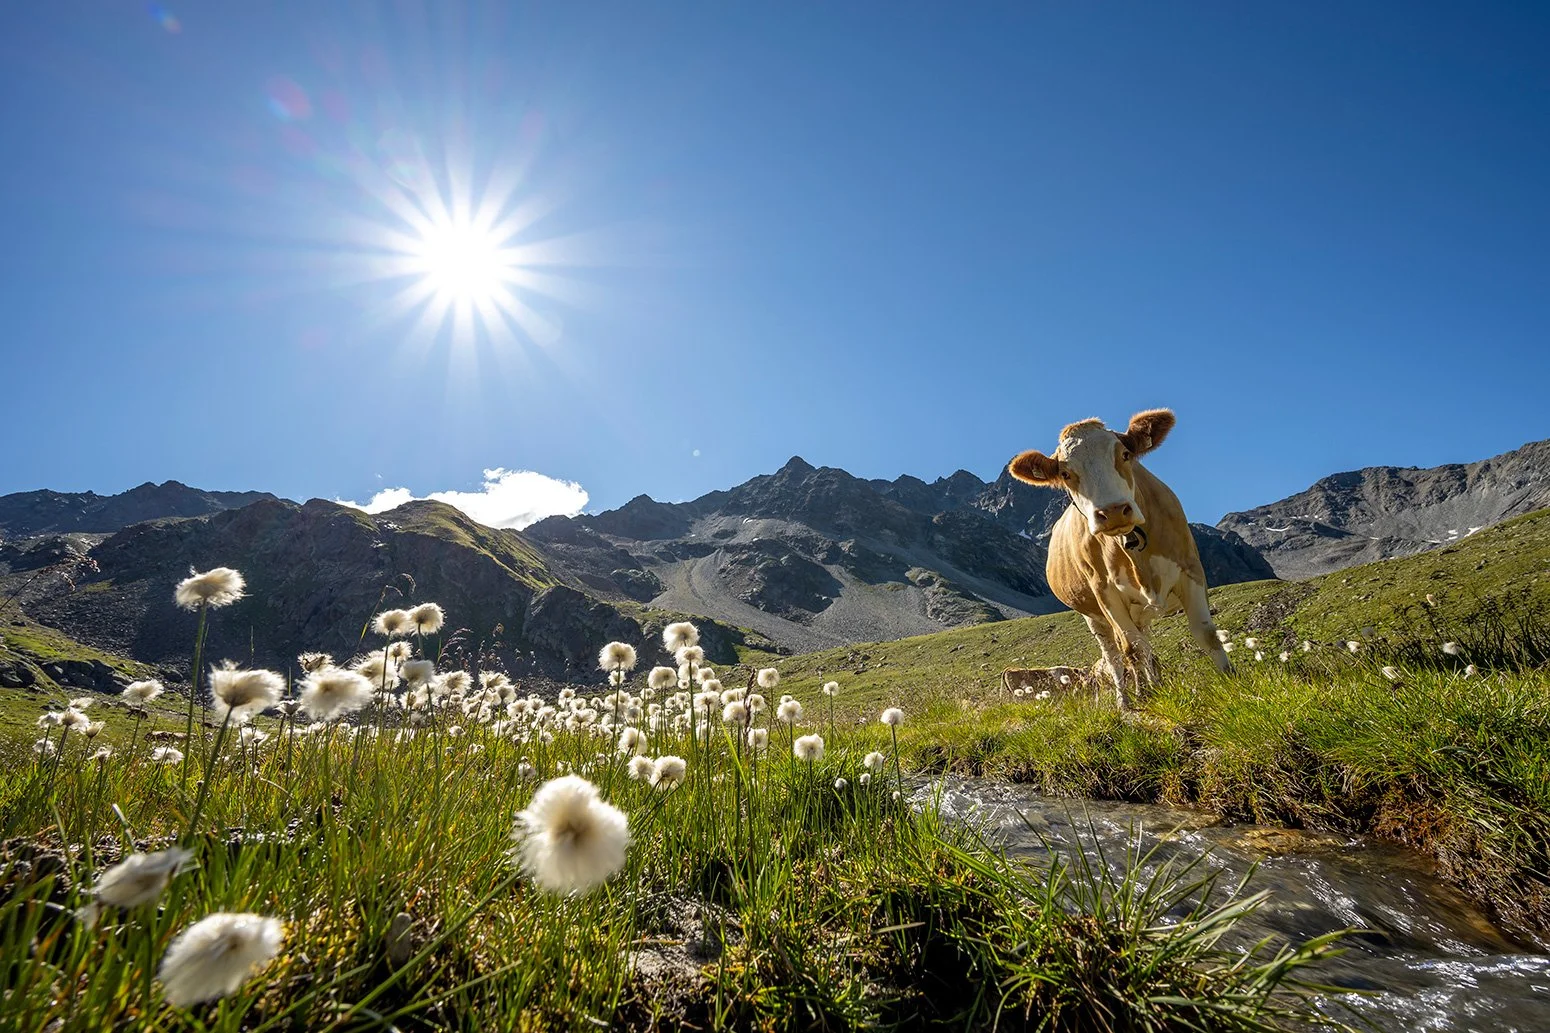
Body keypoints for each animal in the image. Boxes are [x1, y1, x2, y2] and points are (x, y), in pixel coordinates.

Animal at [1007, 409, 1231, 708]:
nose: (1112, 511)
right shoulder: (1106, 594)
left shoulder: (1191, 570)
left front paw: (1233, 685)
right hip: (1093, 617)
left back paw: (1153, 686)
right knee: (1117, 656)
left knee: (1147, 648)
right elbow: (1131, 650)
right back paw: (1128, 698)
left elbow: (1207, 634)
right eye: (1065, 473)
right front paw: (1139, 701)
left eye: (1125, 454)